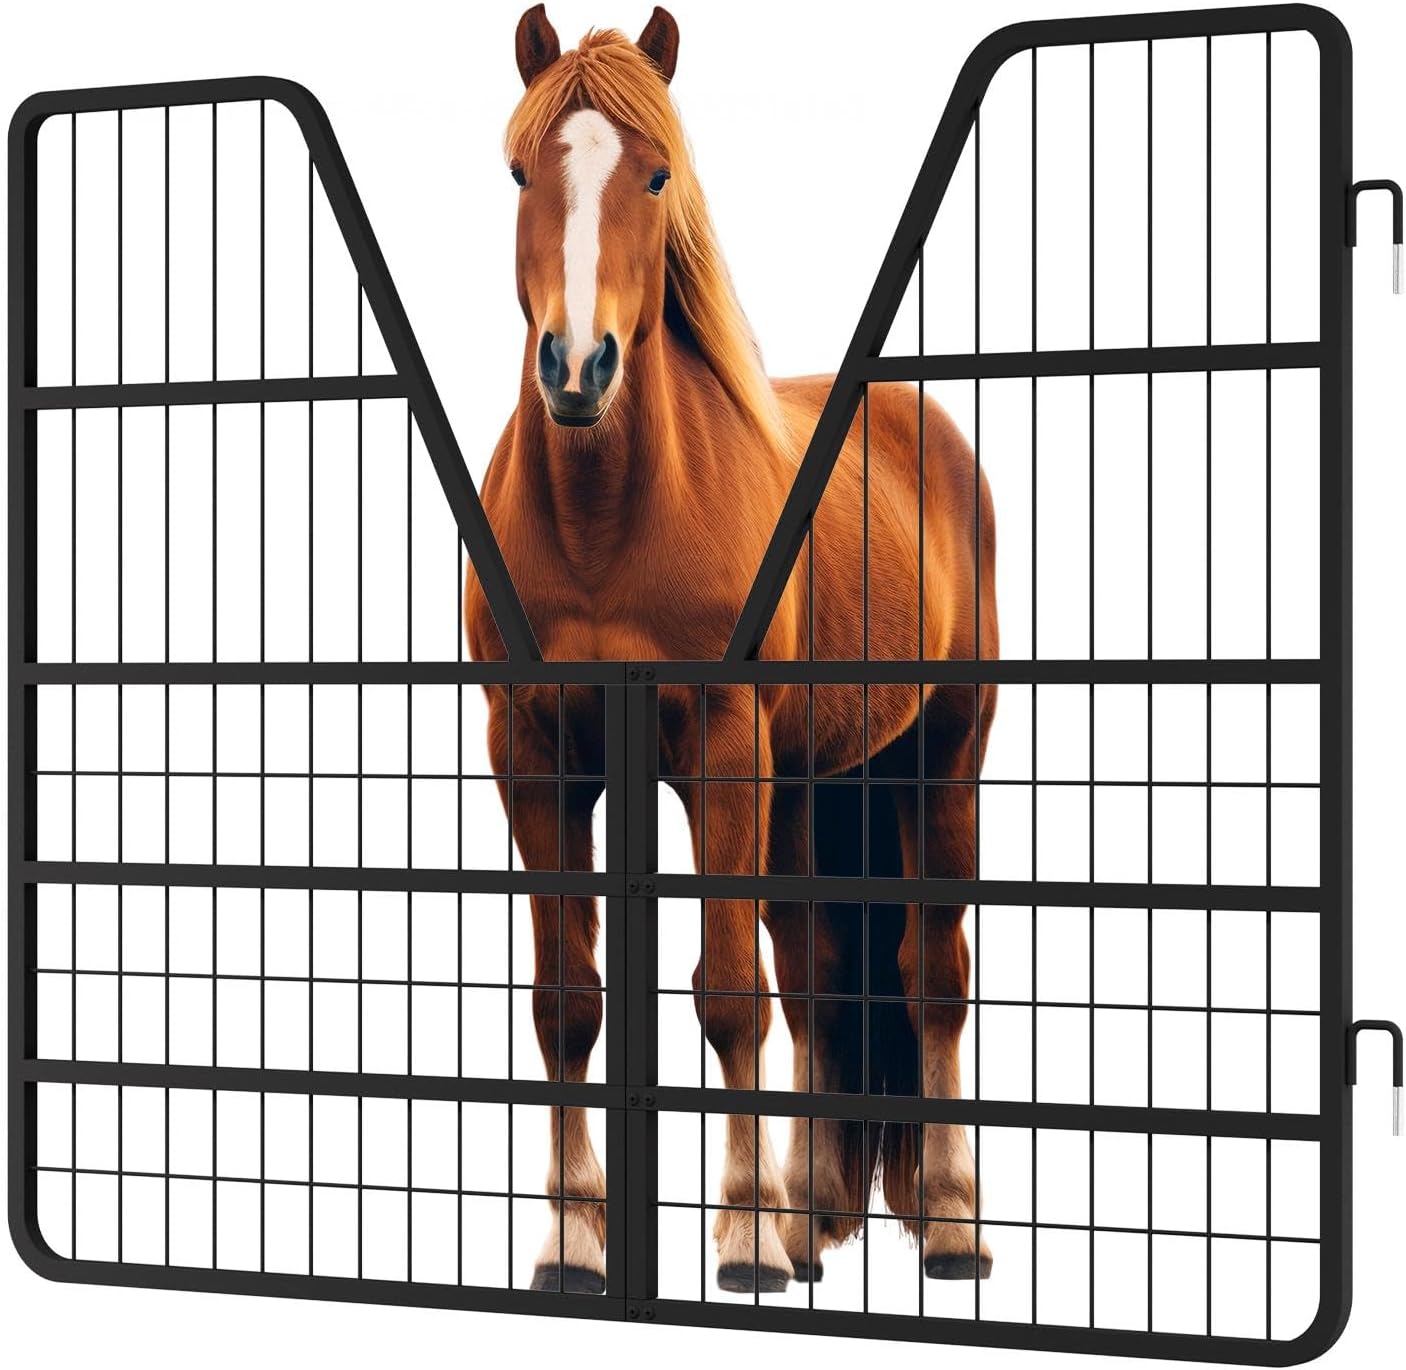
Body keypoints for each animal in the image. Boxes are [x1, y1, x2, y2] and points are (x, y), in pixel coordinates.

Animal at [464, 5, 998, 1295]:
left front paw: (744, 1232)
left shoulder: (717, 747)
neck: (606, 522)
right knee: (816, 971)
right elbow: (569, 1000)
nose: (577, 368)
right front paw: (574, 1240)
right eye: (518, 172)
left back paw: (948, 1223)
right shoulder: (533, 755)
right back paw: (813, 1219)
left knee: (932, 973)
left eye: (658, 173)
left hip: (941, 756)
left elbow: (724, 995)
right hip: (804, 781)